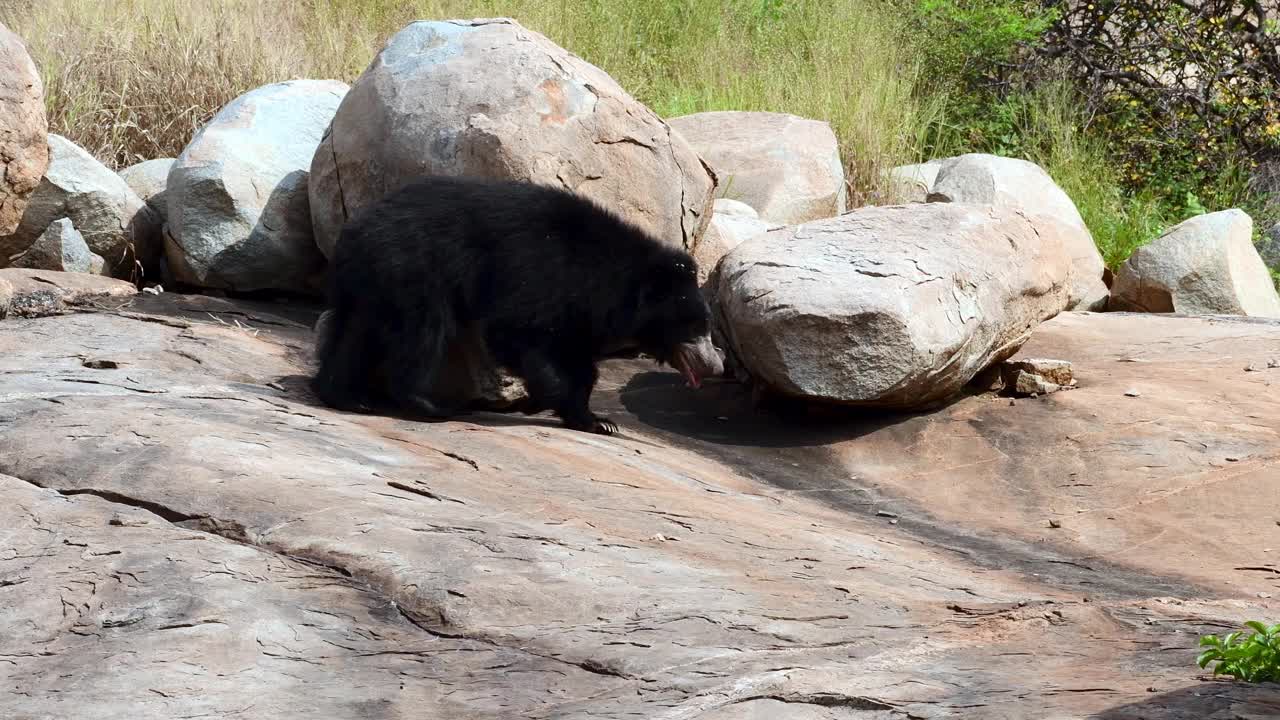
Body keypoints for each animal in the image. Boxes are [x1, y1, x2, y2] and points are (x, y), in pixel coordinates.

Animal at [312, 175, 721, 430]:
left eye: (707, 327)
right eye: (695, 327)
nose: (716, 366)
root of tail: (355, 228)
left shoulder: (578, 311)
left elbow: (578, 360)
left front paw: (597, 420)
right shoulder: (540, 276)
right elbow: (517, 333)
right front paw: (548, 402)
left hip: (372, 282)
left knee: (352, 334)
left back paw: (345, 396)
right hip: (412, 269)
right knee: (420, 333)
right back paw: (427, 403)